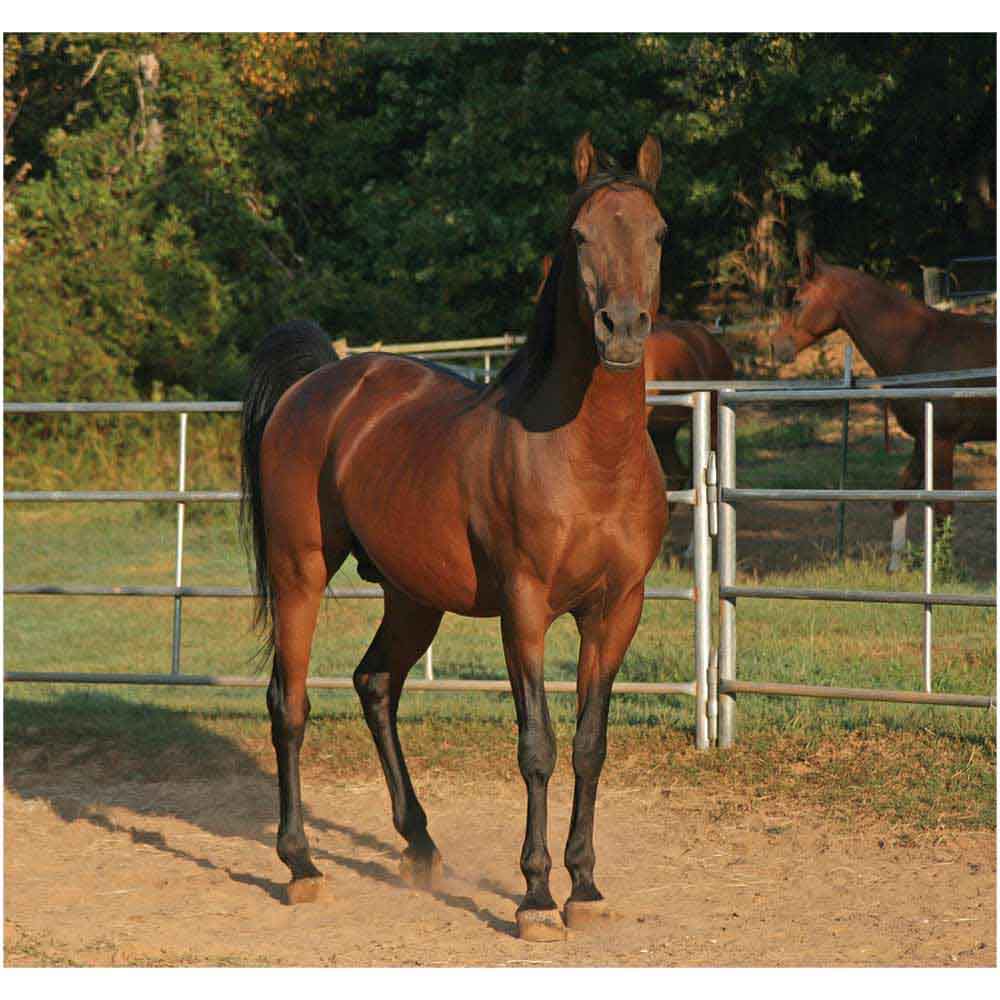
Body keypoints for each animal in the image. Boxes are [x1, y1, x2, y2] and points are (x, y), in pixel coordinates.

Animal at [240, 132, 669, 941]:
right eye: (579, 235)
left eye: (658, 234)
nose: (623, 329)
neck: (588, 456)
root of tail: (321, 383)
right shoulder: (524, 610)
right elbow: (537, 746)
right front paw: (535, 898)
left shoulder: (617, 611)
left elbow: (590, 747)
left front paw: (585, 886)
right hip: (299, 573)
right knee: (290, 705)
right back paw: (302, 865)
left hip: (413, 597)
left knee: (376, 684)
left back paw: (419, 844)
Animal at [771, 248, 996, 571]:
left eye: (798, 301)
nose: (776, 347)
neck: (919, 343)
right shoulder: (923, 439)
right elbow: (902, 493)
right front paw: (895, 564)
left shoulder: (942, 439)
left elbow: (943, 505)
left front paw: (944, 570)